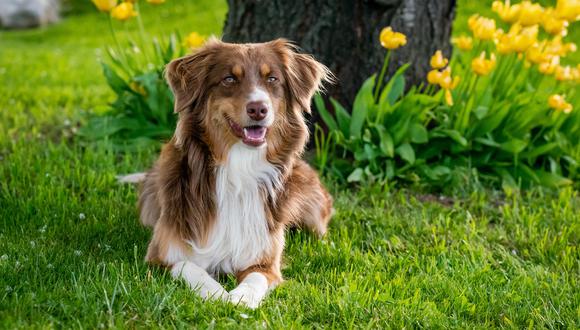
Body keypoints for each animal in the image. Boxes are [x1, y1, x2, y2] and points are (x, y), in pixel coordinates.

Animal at [136, 38, 334, 310]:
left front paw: (241, 298)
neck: (239, 168)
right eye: (229, 79)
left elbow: (255, 279)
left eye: (272, 79)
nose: (258, 109)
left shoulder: (265, 261)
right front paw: (216, 294)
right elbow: (190, 268)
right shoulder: (161, 255)